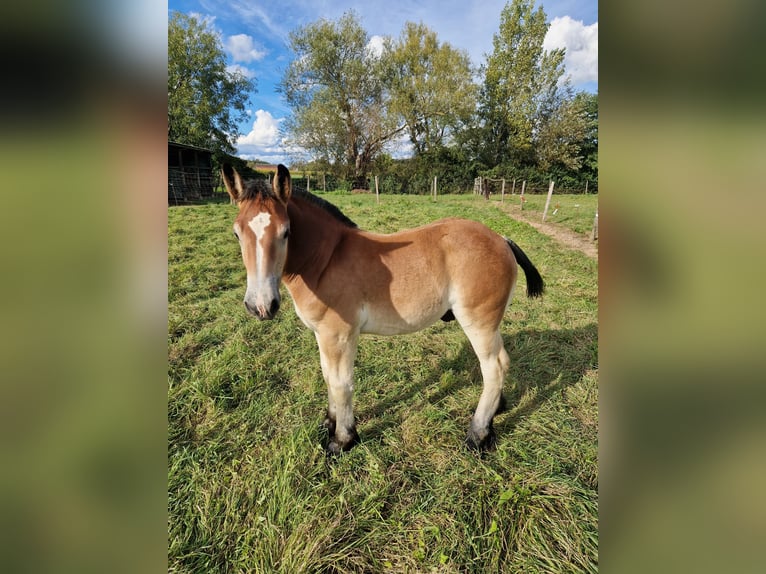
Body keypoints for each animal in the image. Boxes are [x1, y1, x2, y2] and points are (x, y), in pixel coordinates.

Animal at [222, 164, 544, 456]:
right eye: (237, 233)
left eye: (286, 232)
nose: (261, 306)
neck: (326, 260)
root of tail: (501, 239)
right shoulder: (322, 335)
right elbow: (327, 376)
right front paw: (330, 422)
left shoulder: (339, 335)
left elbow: (341, 383)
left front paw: (342, 439)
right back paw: (497, 410)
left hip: (478, 323)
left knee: (494, 367)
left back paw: (478, 435)